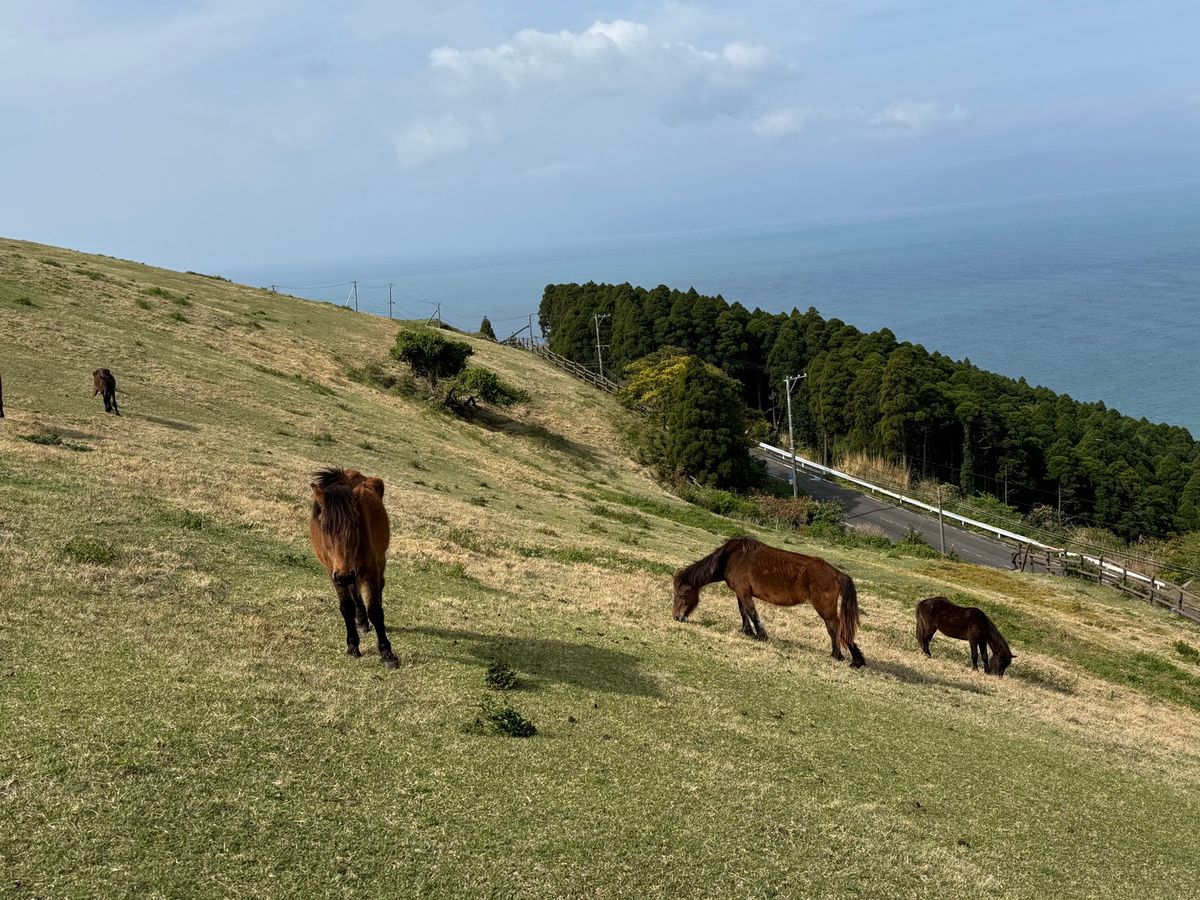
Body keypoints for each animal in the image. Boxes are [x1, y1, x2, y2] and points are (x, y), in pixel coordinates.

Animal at [308, 467, 398, 668]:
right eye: (325, 528)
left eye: (355, 524)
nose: (344, 576)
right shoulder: (332, 572)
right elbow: (346, 607)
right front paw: (352, 645)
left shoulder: (370, 569)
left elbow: (375, 610)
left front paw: (386, 652)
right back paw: (361, 620)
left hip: (377, 563)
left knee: (378, 587)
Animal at [673, 536, 866, 668]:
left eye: (682, 595)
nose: (676, 617)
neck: (732, 557)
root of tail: (837, 573)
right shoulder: (740, 593)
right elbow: (743, 612)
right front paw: (747, 631)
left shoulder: (744, 592)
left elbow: (751, 612)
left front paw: (761, 635)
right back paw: (855, 659)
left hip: (824, 608)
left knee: (835, 627)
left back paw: (838, 655)